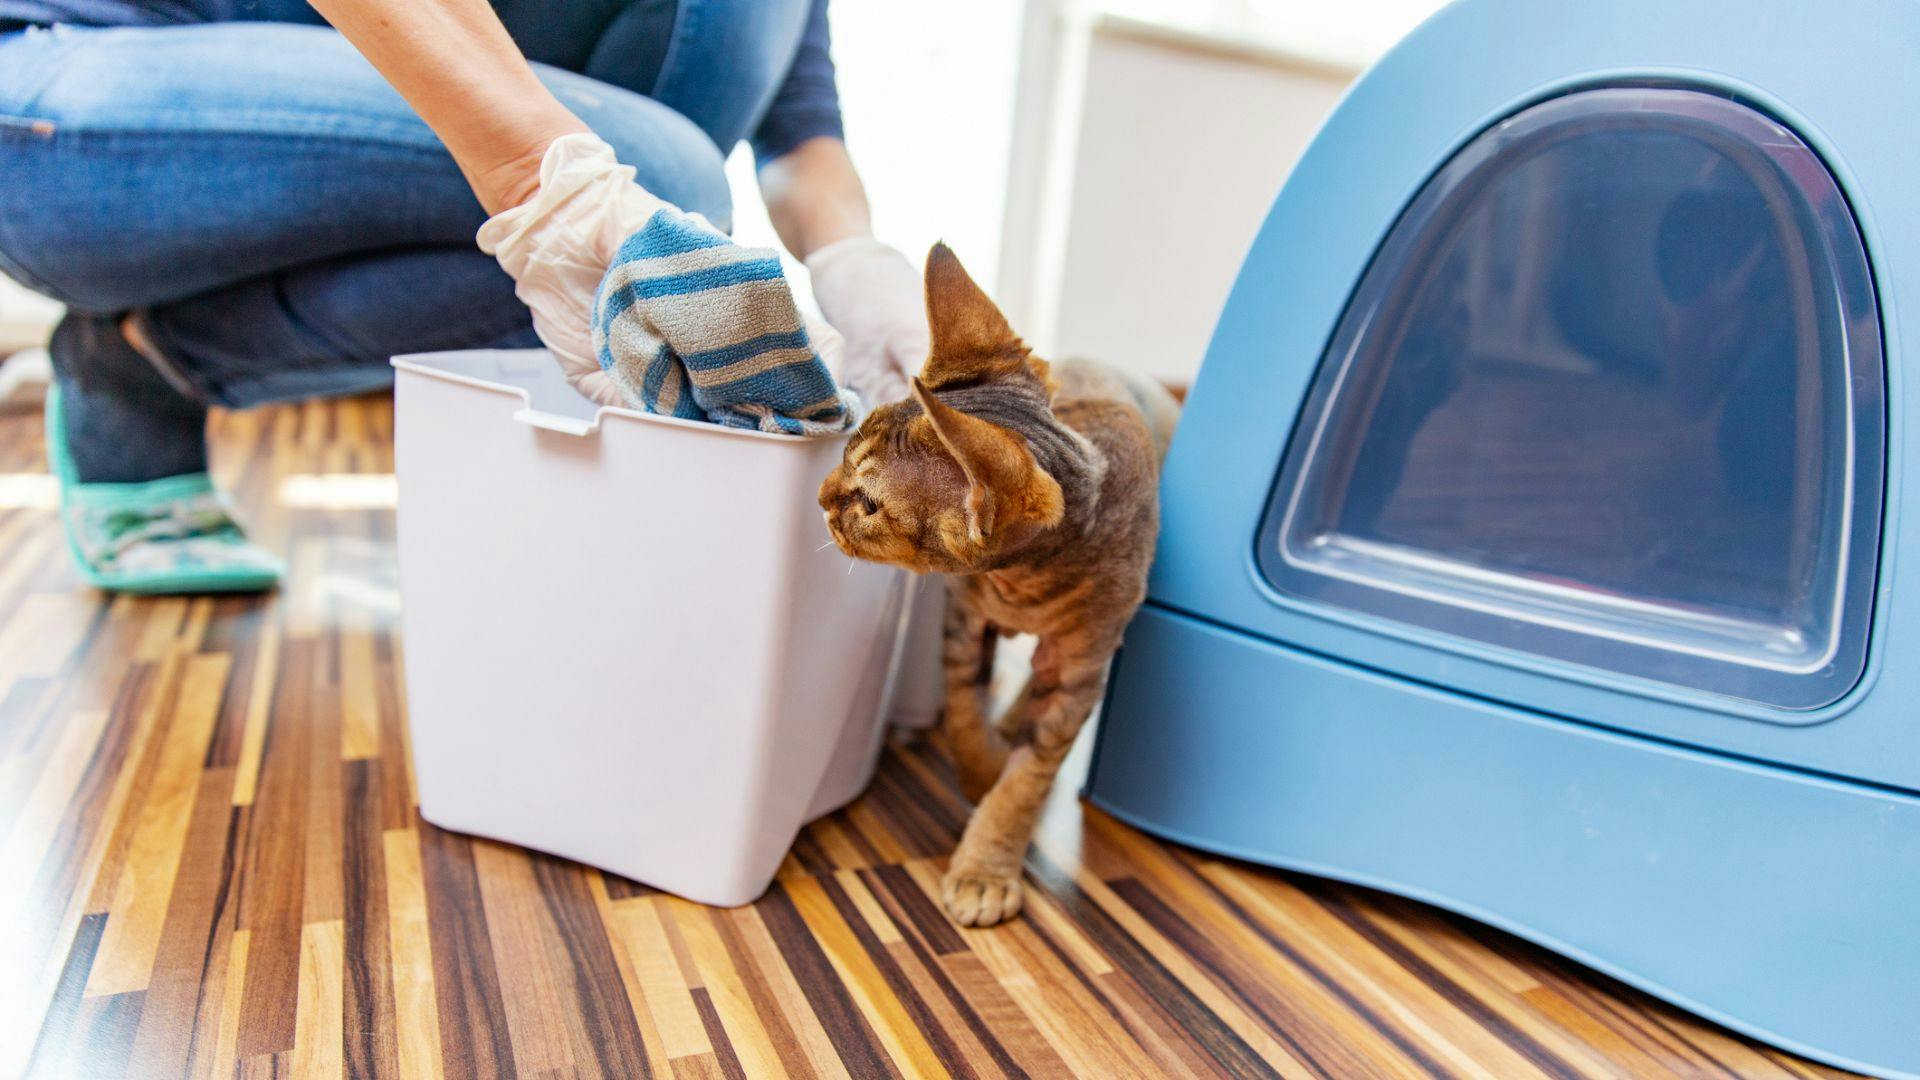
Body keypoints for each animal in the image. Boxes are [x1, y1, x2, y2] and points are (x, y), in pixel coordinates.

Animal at [817, 244, 1175, 926]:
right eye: (844, 456)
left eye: (869, 504)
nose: (820, 496)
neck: (1020, 589)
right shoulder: (961, 623)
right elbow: (961, 717)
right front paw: (980, 770)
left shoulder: (1078, 673)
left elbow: (1028, 781)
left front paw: (986, 866)